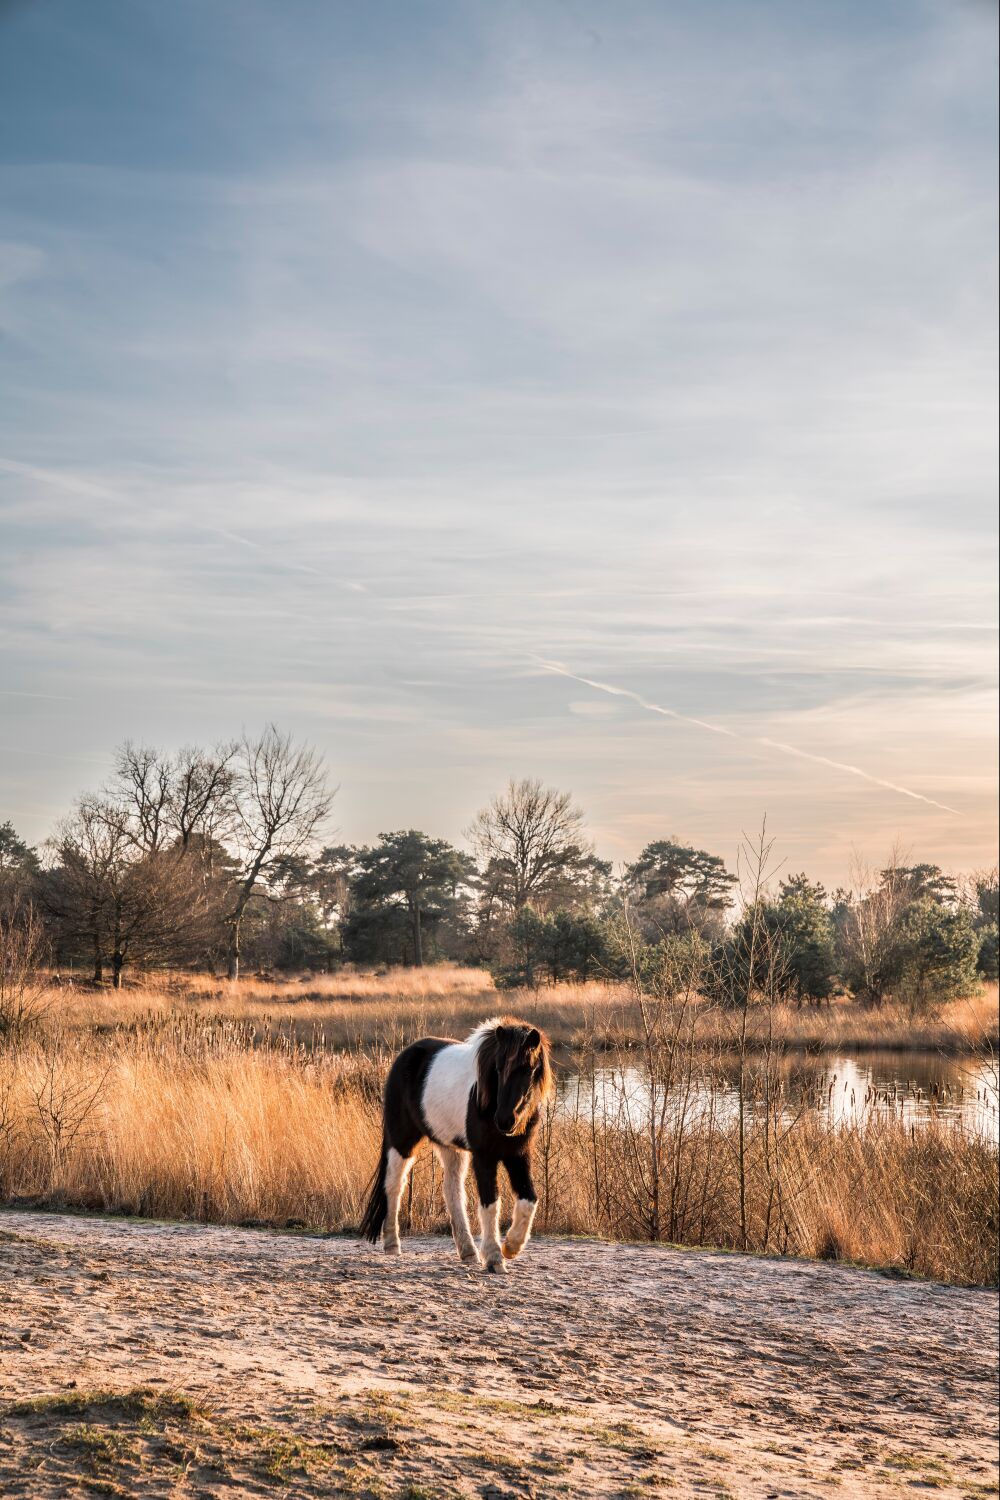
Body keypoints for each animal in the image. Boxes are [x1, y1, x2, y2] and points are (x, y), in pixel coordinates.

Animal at [358, 1014, 551, 1272]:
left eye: (529, 1069)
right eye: (498, 1068)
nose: (504, 1120)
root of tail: (405, 1055)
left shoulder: (518, 1154)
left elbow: (529, 1199)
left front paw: (511, 1246)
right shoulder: (484, 1156)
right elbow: (490, 1203)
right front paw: (494, 1257)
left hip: (449, 1147)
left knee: (452, 1191)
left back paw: (468, 1251)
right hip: (402, 1141)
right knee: (394, 1185)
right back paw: (392, 1244)